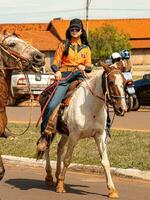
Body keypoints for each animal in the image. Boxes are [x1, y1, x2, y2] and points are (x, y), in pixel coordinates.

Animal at [42, 63, 126, 198]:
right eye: (111, 82)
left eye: (124, 82)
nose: (122, 108)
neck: (91, 107)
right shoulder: (74, 136)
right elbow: (67, 159)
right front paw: (60, 186)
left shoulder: (99, 135)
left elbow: (105, 161)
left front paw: (112, 189)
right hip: (51, 130)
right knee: (47, 147)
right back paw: (49, 176)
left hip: (65, 133)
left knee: (59, 148)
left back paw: (57, 175)